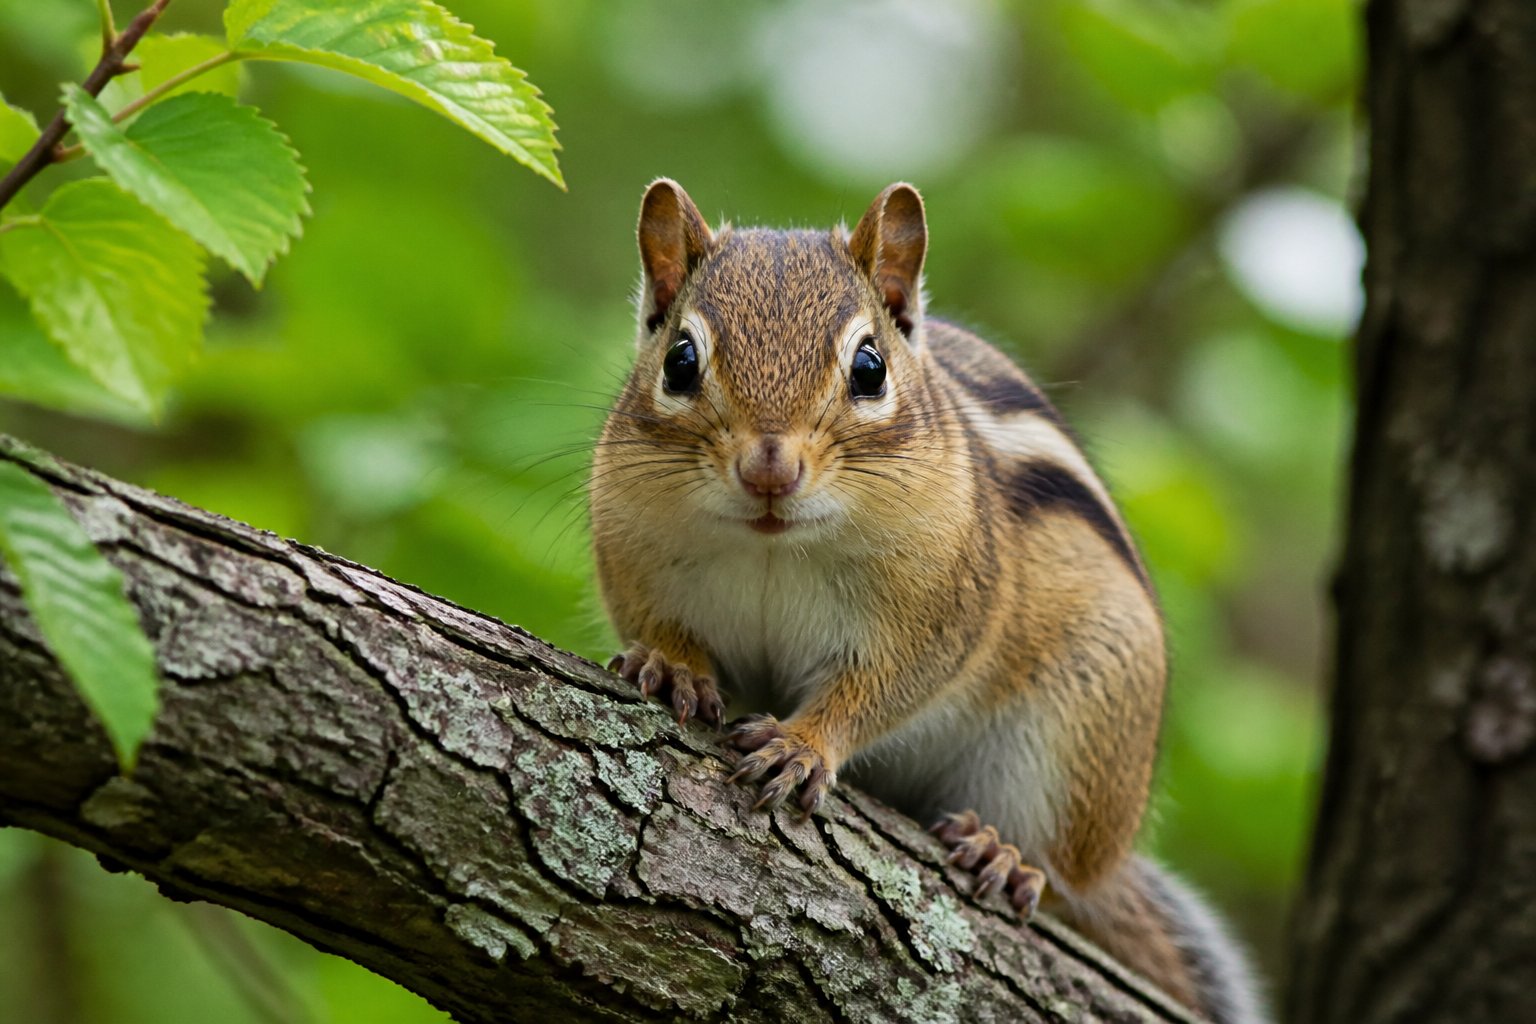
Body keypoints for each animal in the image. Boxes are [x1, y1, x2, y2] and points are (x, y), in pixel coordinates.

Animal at [590, 179, 1267, 1024]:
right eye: (680, 362)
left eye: (869, 368)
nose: (769, 468)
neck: (773, 545)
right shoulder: (631, 554)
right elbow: (656, 624)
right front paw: (672, 665)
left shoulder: (941, 613)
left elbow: (883, 688)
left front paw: (803, 744)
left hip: (1076, 741)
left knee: (1068, 881)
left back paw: (1008, 857)